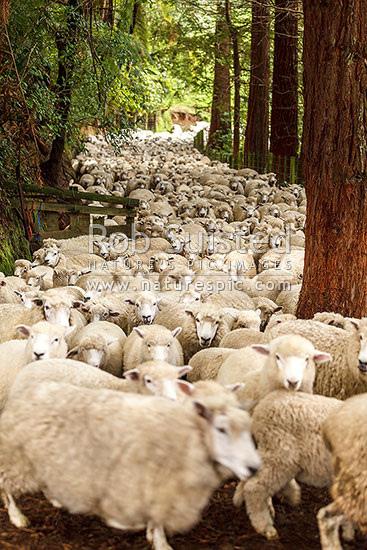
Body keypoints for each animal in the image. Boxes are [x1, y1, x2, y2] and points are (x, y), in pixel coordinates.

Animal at [0, 380, 260, 550]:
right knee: (5, 487)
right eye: (222, 429)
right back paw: (17, 517)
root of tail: (24, 394)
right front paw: (159, 542)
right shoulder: (152, 485)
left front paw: (151, 536)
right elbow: (155, 520)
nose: (254, 467)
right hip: (16, 458)